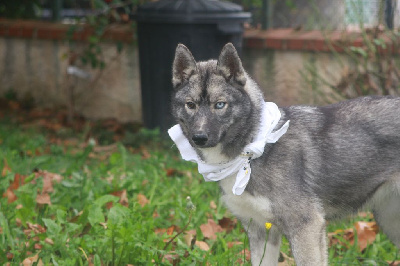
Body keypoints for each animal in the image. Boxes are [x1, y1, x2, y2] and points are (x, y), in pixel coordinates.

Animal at [168, 42, 400, 264]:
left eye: (220, 105)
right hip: (390, 221)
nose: (199, 137)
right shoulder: (261, 232)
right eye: (190, 105)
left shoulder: (307, 227)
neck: (251, 152)